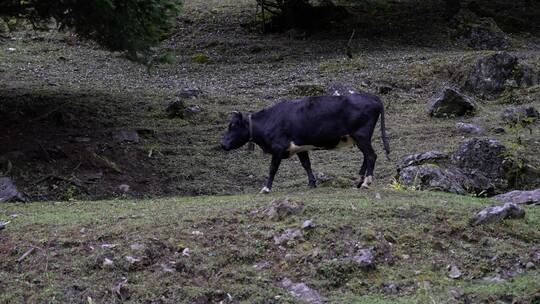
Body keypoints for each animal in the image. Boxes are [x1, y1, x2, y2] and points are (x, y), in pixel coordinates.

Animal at [221, 92, 390, 194]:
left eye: (232, 126)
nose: (222, 144)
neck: (269, 120)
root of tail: (372, 97)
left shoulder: (278, 148)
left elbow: (272, 169)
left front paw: (266, 188)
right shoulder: (301, 148)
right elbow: (306, 165)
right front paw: (312, 183)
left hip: (362, 136)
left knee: (371, 156)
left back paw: (366, 182)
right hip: (360, 138)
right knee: (366, 157)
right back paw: (359, 181)